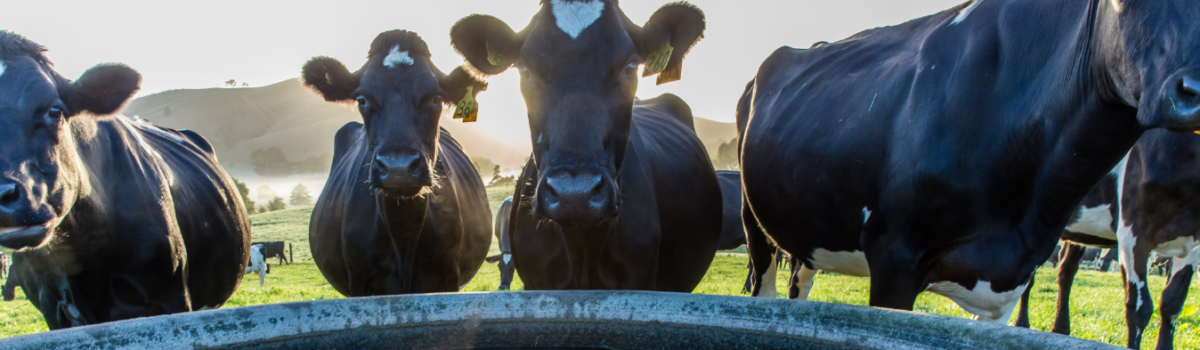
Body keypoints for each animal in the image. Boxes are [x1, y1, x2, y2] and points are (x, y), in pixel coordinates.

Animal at [304, 31, 492, 297]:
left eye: (437, 97)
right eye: (361, 99)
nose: (398, 168)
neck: (403, 233)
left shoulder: (446, 277)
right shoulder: (361, 282)